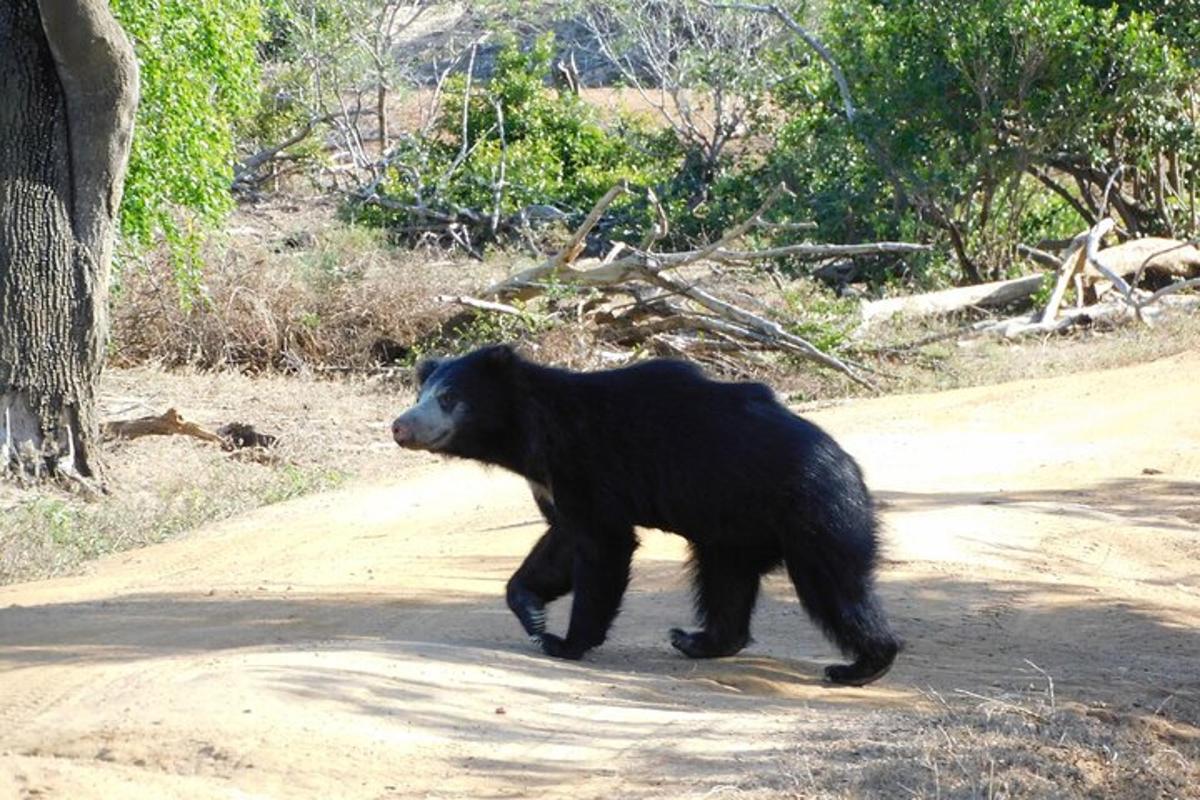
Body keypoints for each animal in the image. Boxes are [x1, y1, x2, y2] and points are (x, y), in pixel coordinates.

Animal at [393, 345, 902, 690]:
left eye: (449, 397)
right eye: (422, 393)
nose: (400, 426)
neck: (532, 437)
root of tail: (850, 468)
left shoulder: (586, 465)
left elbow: (601, 546)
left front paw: (564, 642)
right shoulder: (552, 482)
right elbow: (561, 541)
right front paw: (532, 612)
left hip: (812, 514)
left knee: (834, 588)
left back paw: (861, 665)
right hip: (732, 530)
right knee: (725, 582)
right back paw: (699, 640)